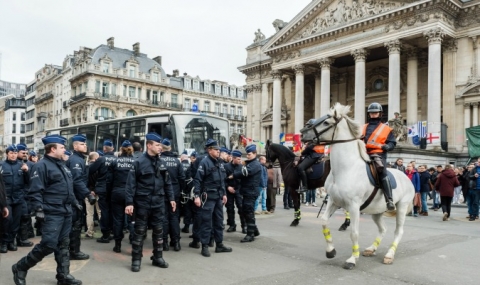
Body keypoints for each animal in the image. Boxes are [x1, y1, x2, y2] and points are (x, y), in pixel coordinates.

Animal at [316, 102, 414, 268]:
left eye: (326, 123)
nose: (302, 132)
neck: (346, 168)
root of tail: (406, 177)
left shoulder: (354, 206)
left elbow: (354, 233)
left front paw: (352, 259)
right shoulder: (333, 201)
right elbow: (323, 221)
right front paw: (330, 251)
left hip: (401, 206)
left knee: (398, 231)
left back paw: (389, 254)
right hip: (377, 210)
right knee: (383, 229)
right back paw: (371, 248)